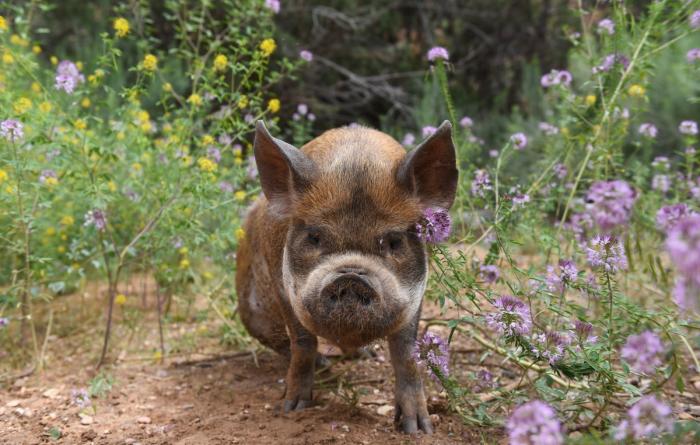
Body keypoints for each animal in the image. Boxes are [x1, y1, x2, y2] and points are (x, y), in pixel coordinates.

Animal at [235, 120, 457, 434]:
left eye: (394, 242)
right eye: (314, 237)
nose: (351, 278)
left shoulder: (415, 298)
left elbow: (406, 354)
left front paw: (418, 429)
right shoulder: (284, 290)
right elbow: (302, 342)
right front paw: (292, 408)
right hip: (251, 311)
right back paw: (325, 366)